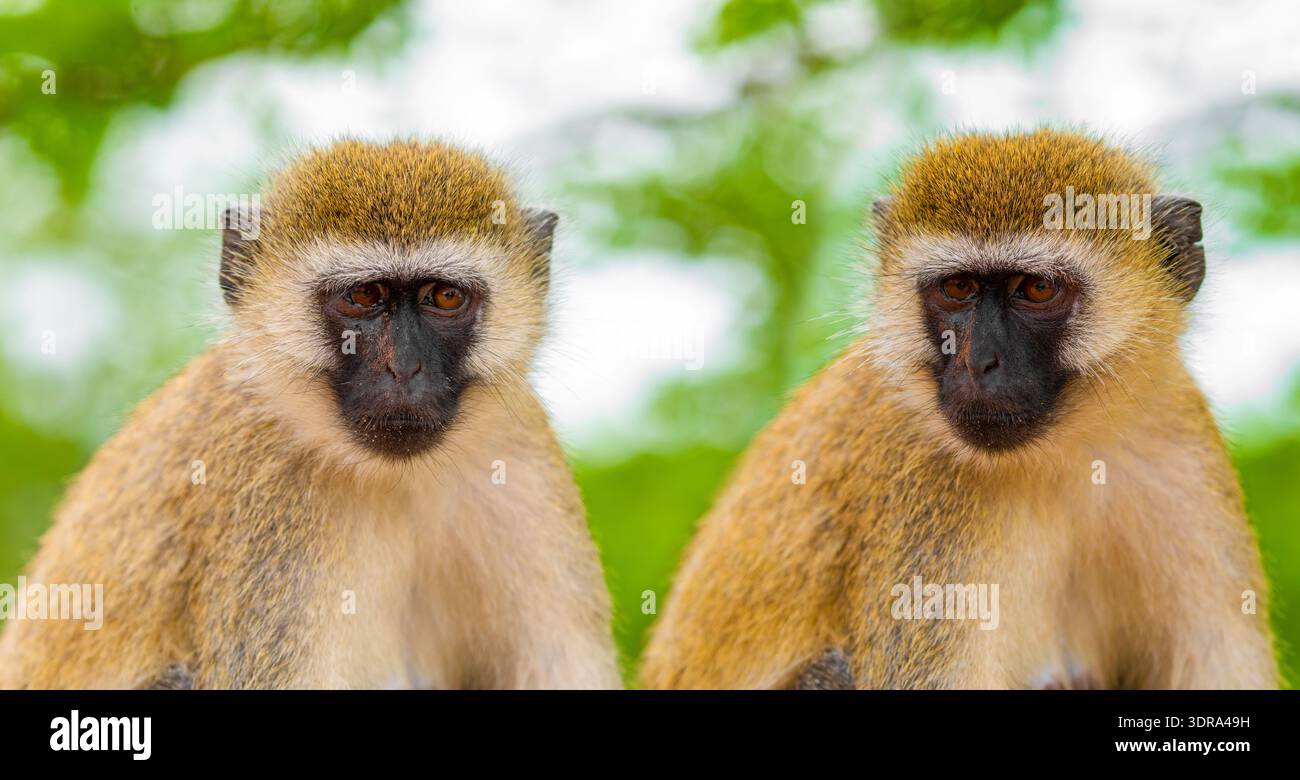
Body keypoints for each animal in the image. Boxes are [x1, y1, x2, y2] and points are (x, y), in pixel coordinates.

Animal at [0, 139, 620, 689]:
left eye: (444, 297)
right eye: (364, 297)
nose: (405, 369)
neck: (395, 481)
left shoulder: (522, 457)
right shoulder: (265, 493)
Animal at [639, 129, 1278, 690]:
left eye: (1036, 289)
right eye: (958, 288)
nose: (980, 364)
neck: (1063, 456)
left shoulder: (1182, 450)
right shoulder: (921, 494)